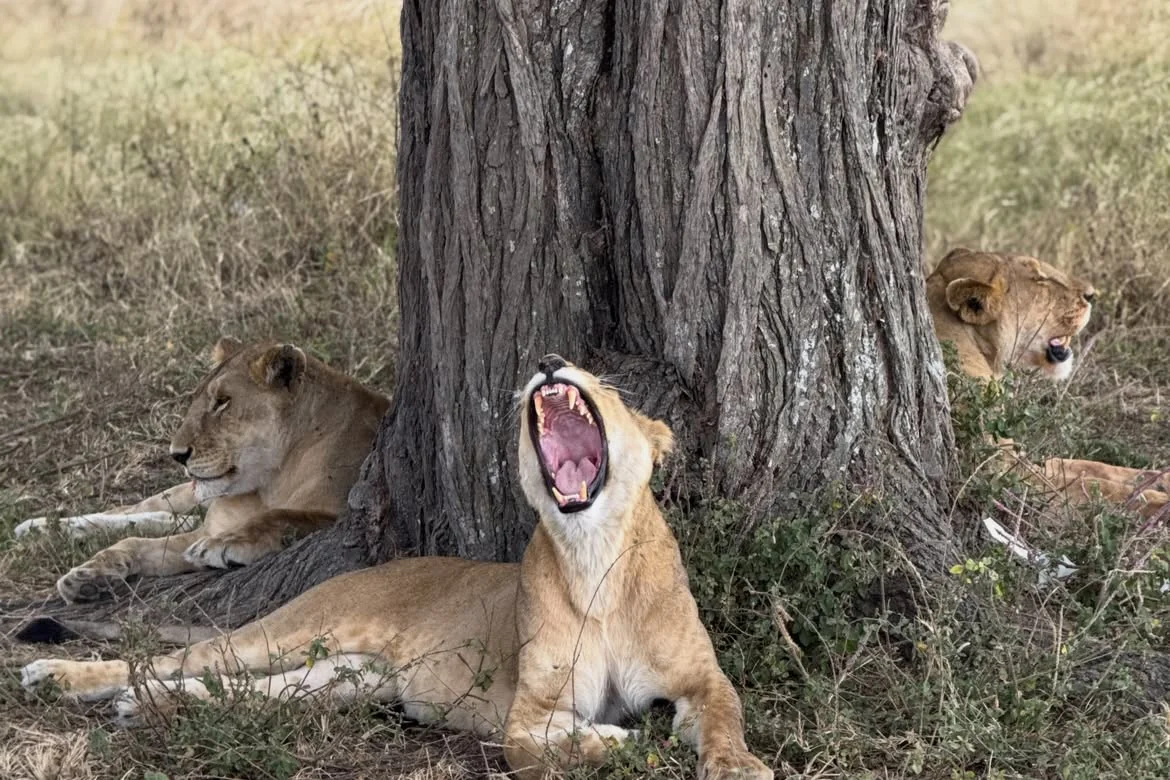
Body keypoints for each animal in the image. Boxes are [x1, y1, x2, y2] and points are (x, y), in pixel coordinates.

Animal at [14, 337, 390, 604]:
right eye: (196, 399)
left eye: (223, 402)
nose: (177, 455)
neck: (271, 478)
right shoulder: (206, 524)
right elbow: (135, 542)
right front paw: (87, 575)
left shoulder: (341, 512)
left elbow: (281, 517)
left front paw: (224, 545)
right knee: (138, 510)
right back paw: (37, 528)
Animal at [928, 248, 1168, 517]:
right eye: (1039, 279)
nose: (1092, 294)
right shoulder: (1000, 472)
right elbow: (1094, 486)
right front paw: (1158, 502)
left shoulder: (1021, 458)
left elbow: (1091, 466)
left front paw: (1161, 478)